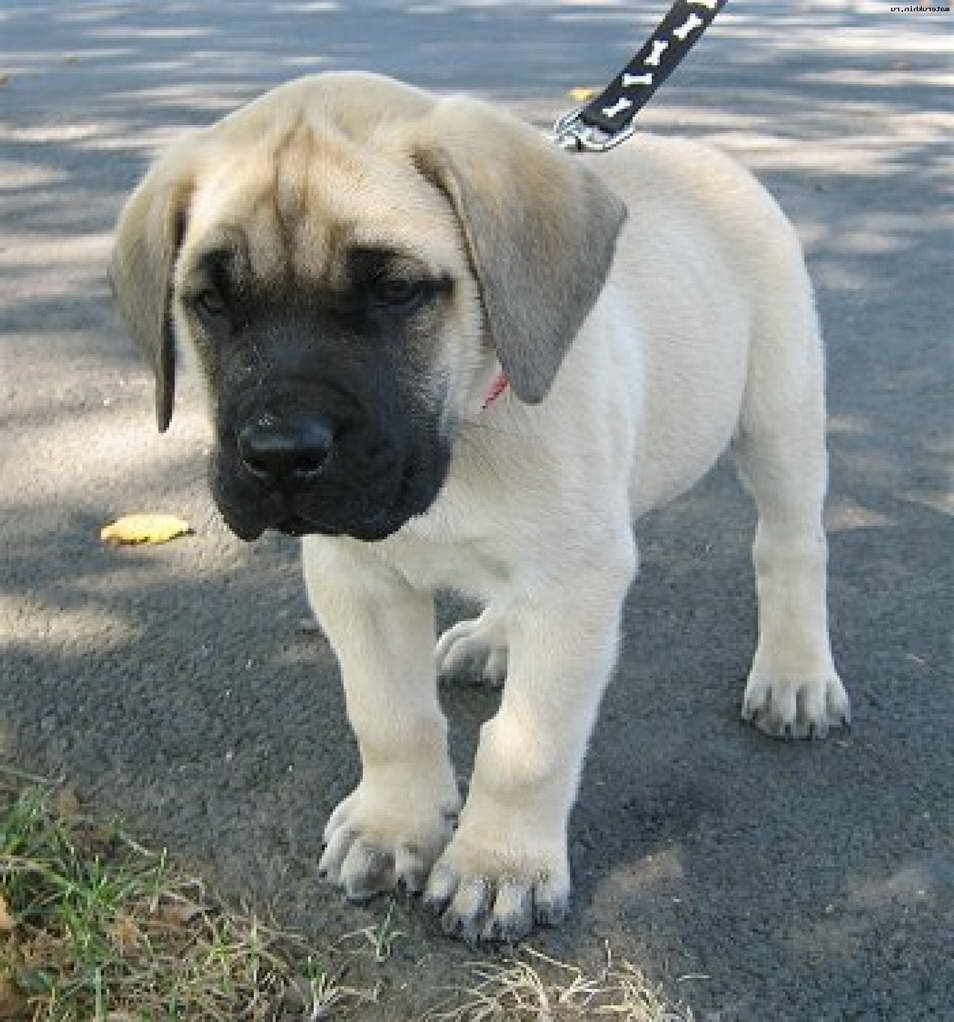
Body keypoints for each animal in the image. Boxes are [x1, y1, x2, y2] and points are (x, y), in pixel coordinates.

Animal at [109, 72, 850, 940]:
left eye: (396, 291)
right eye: (211, 303)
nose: (280, 455)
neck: (465, 431)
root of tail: (709, 157)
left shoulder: (574, 585)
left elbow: (526, 745)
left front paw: (501, 867)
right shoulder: (356, 579)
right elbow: (390, 715)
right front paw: (393, 825)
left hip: (778, 416)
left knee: (790, 548)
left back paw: (795, 673)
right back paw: (493, 637)